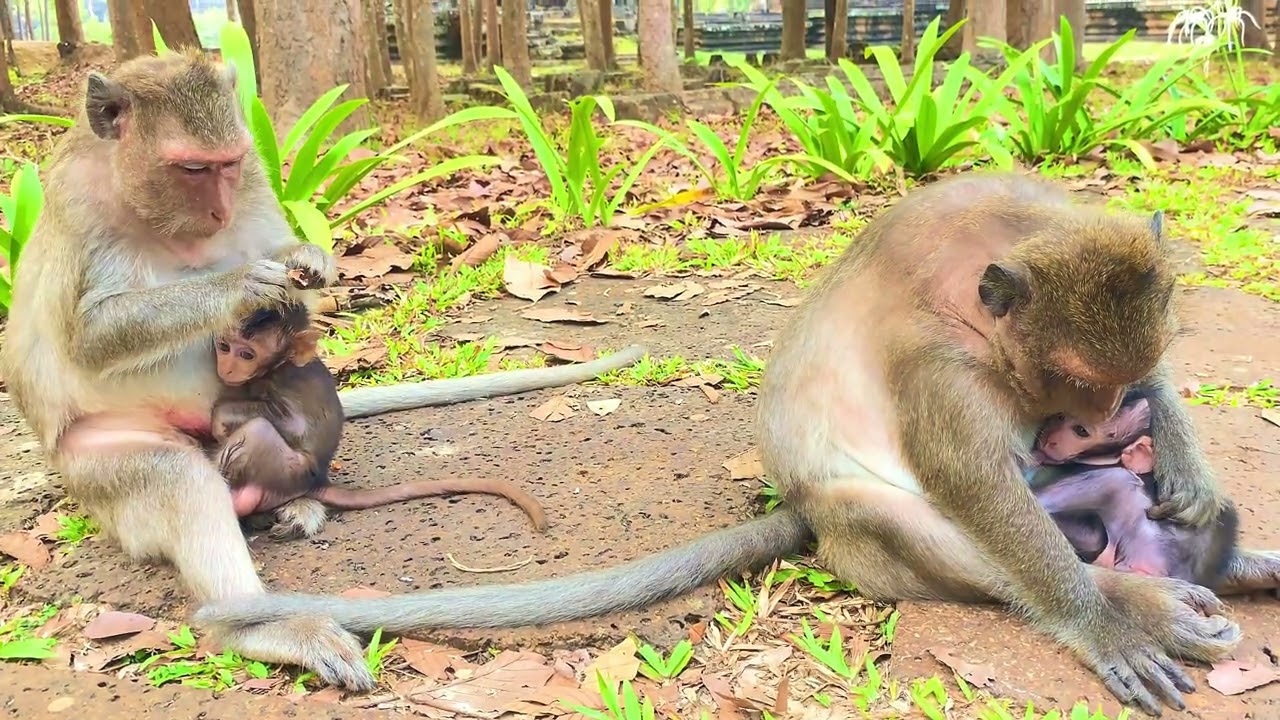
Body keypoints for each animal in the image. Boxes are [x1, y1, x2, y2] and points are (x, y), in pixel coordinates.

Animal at [211, 302, 549, 537]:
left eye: (247, 355)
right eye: (224, 347)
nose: (226, 368)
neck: (277, 368)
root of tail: (318, 480)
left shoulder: (285, 382)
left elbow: (293, 426)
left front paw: (219, 417)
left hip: (289, 471)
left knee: (258, 431)